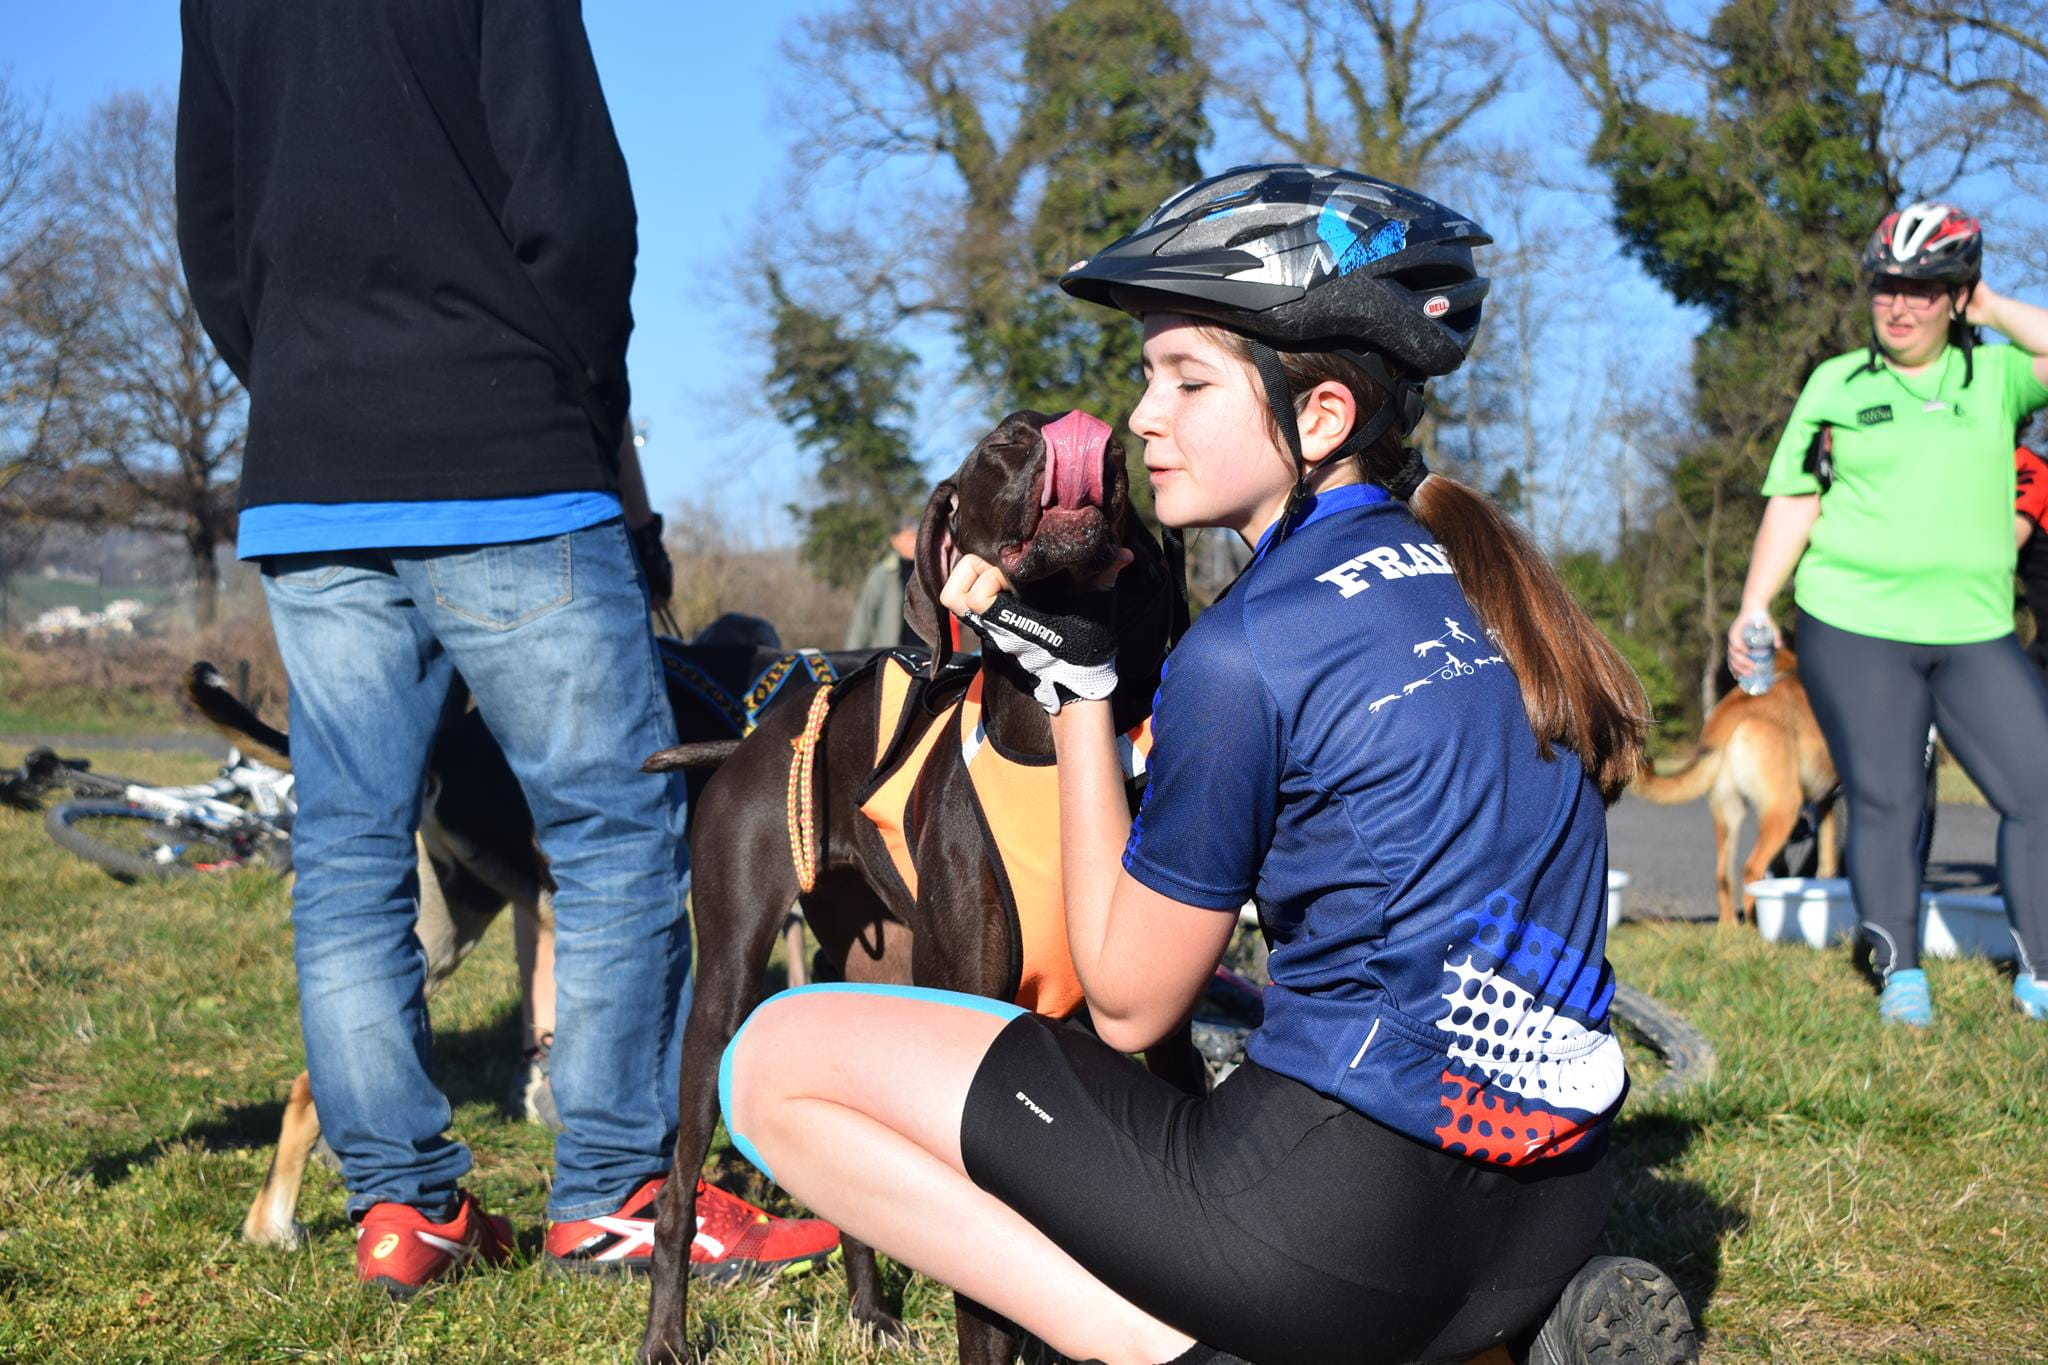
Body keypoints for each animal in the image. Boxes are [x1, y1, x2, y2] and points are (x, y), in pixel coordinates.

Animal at [630, 413, 1196, 1365]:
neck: (1047, 749)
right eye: (1005, 441)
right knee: (677, 1190)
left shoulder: (1153, 1039)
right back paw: (667, 1337)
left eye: (1122, 448)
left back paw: (869, 1310)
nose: (1095, 445)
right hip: (725, 989)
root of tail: (747, 740)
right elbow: (989, 1299)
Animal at [1630, 650, 1843, 929]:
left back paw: (1729, 926)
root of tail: (1734, 710)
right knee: (1752, 869)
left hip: (1727, 811)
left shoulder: (1825, 800)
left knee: (1723, 875)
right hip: (1783, 807)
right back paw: (1756, 926)